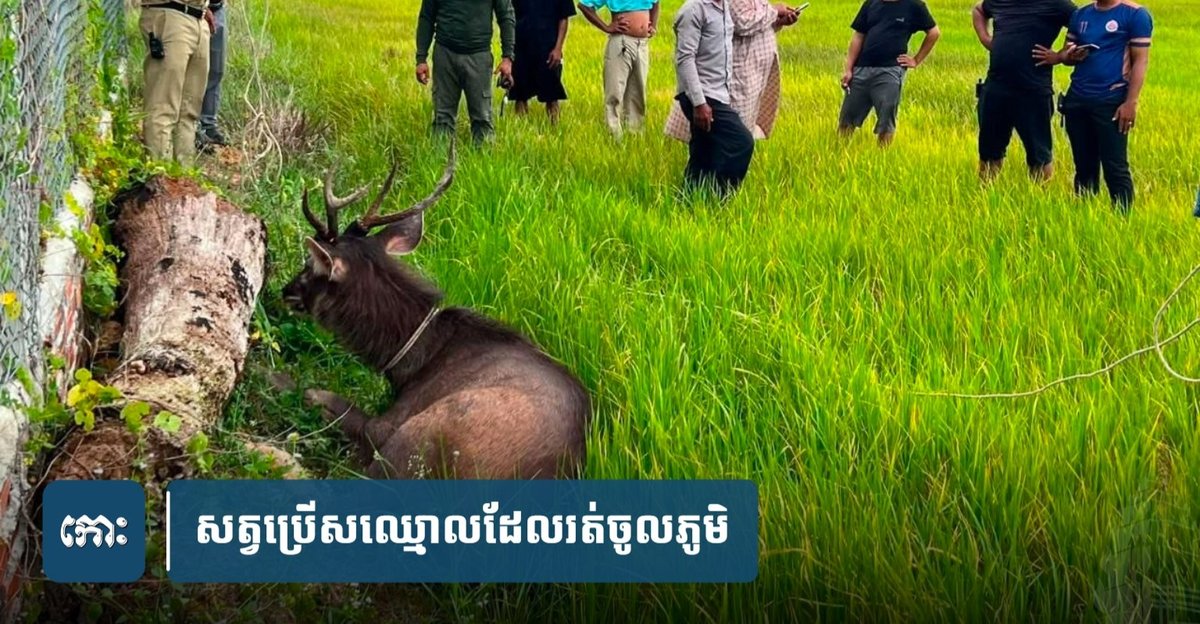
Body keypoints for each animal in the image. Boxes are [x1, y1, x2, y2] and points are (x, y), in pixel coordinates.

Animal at [281, 141, 589, 479]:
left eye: (310, 265)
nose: (286, 291)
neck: (408, 358)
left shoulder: (383, 425)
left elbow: (313, 393)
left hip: (427, 430)